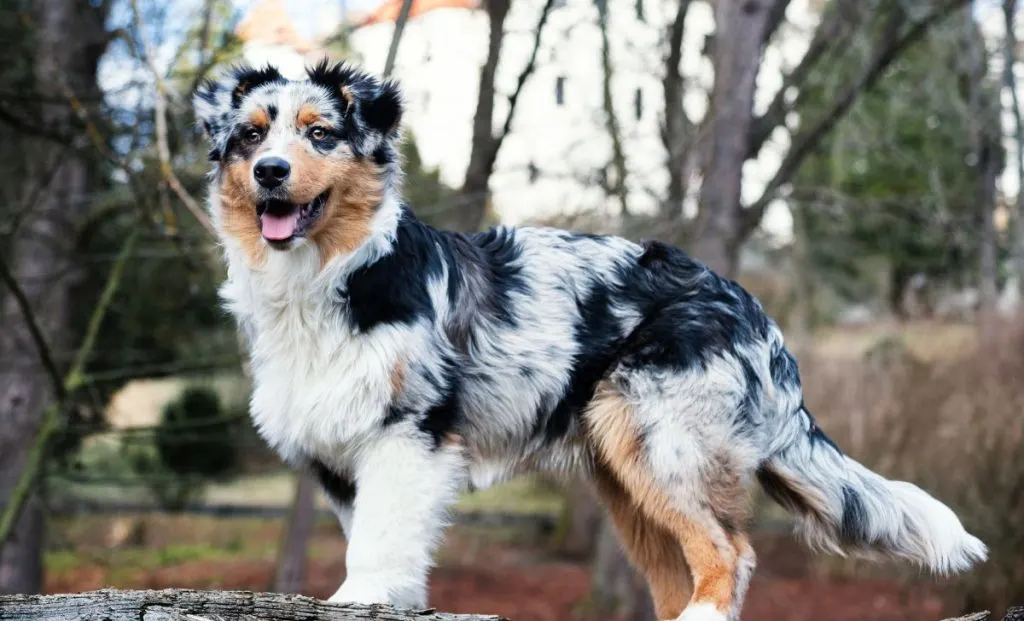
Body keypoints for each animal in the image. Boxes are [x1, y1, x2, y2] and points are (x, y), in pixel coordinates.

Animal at [192, 59, 983, 621]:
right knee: (681, 569)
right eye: (252, 135)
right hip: (626, 476)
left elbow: (383, 537)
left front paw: (361, 598)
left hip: (664, 441)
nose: (270, 172)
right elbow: (384, 539)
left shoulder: (407, 431)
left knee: (731, 550)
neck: (331, 275)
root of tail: (753, 308)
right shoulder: (340, 450)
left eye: (320, 133)